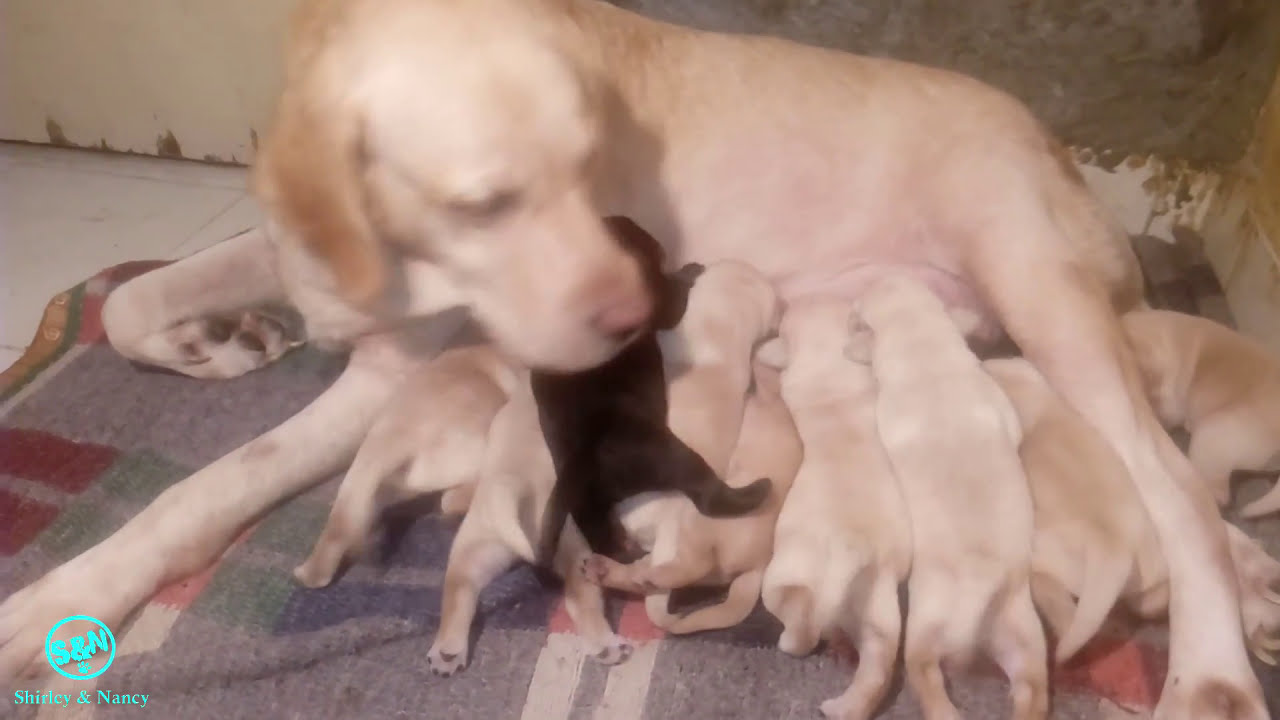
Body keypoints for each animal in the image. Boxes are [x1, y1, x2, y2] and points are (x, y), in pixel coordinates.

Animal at [0, 1, 1259, 712]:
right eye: (486, 201)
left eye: (588, 164)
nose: (631, 311)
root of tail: (1057, 151)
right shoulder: (303, 249)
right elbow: (134, 300)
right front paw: (215, 338)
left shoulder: (388, 379)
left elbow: (202, 491)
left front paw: (55, 600)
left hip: (1036, 292)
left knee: (1177, 496)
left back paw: (1211, 668)